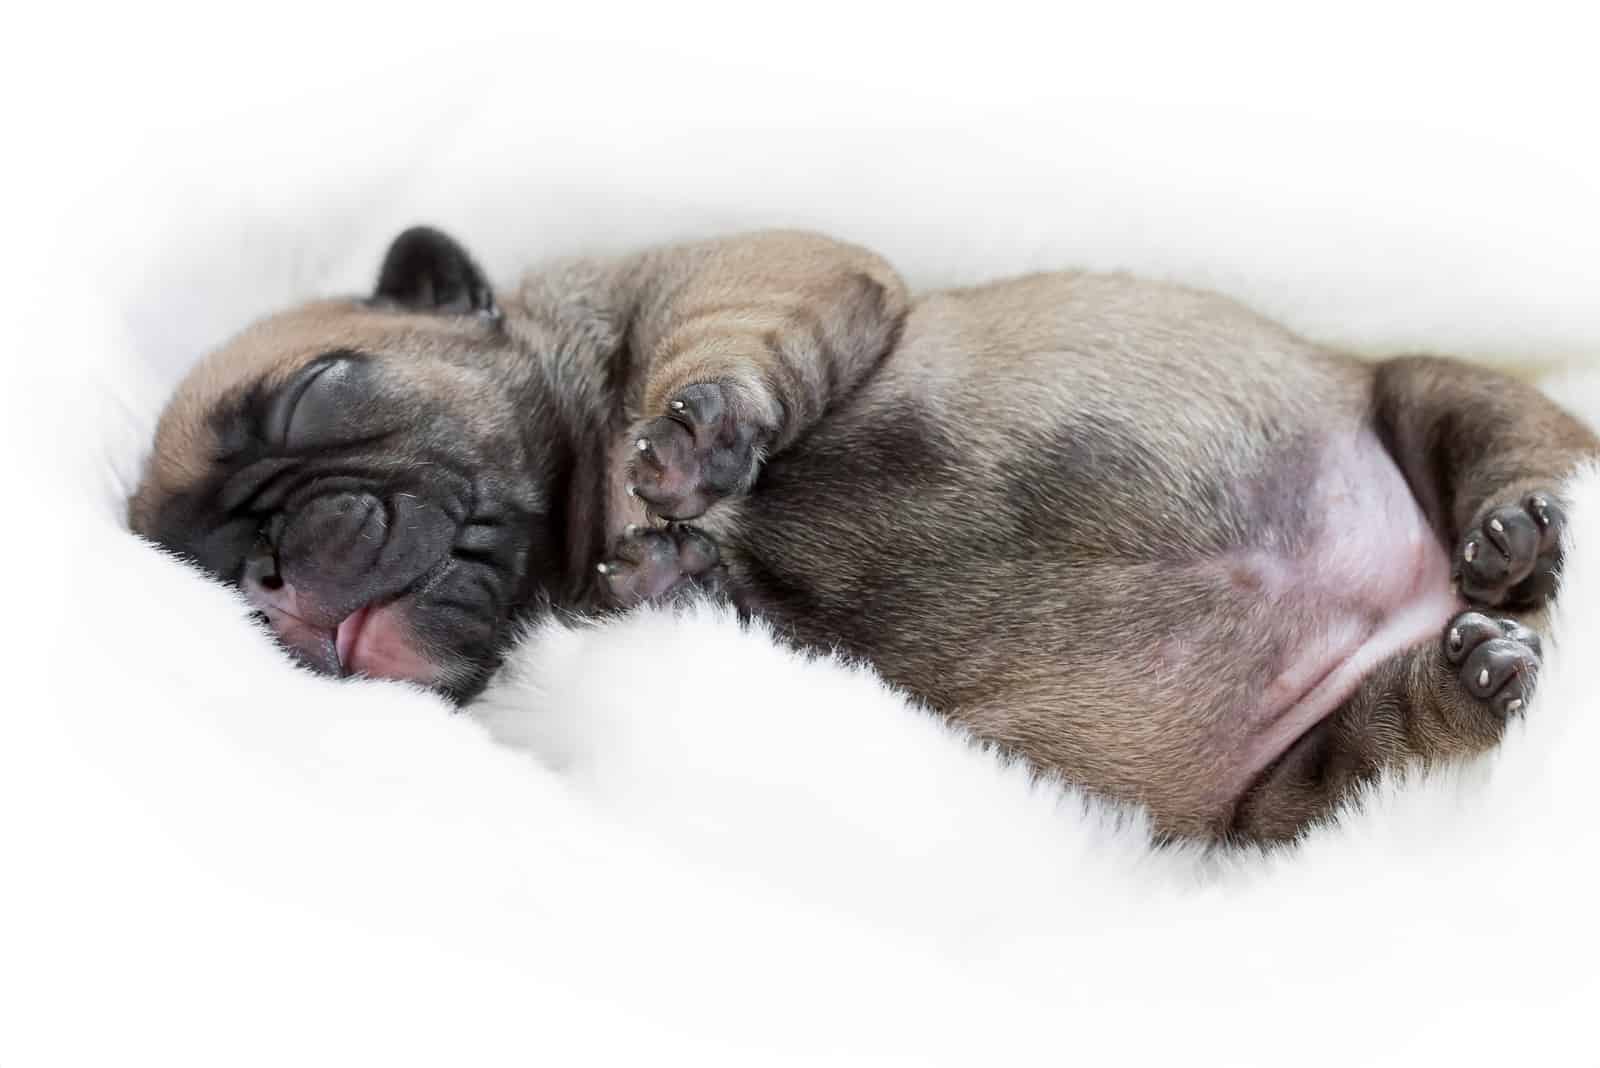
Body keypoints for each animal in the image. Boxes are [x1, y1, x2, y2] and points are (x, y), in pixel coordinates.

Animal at [128, 227, 1600, 844]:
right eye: (208, 572)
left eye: (318, 392)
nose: (266, 565)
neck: (582, 500)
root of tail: (1412, 603)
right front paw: (680, 570)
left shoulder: (755, 270)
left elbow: (717, 341)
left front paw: (697, 433)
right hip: (1283, 802)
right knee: (1375, 763)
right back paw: (1465, 674)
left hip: (1426, 388)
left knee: (1495, 443)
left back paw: (1516, 533)